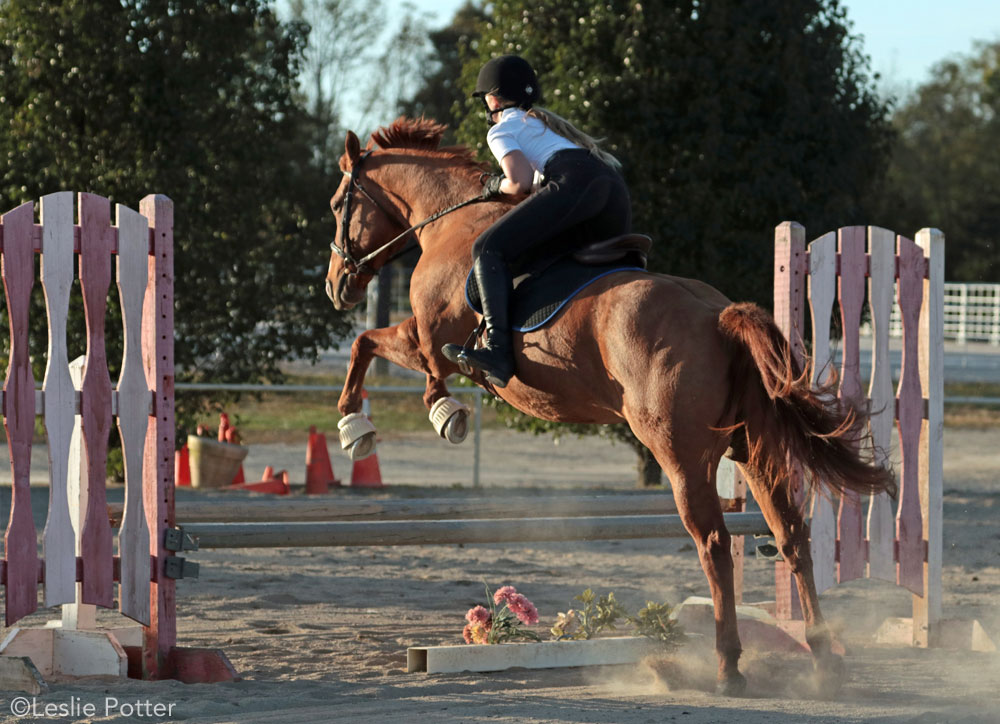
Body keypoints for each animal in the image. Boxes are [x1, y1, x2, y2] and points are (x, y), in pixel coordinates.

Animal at [324, 119, 896, 696]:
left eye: (336, 204)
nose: (335, 286)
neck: (450, 223)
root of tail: (719, 316)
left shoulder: (429, 339)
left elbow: (375, 349)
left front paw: (373, 425)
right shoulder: (426, 341)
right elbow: (372, 347)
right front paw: (395, 419)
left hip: (681, 455)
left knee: (714, 544)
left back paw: (727, 666)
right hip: (753, 451)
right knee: (791, 536)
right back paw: (824, 661)